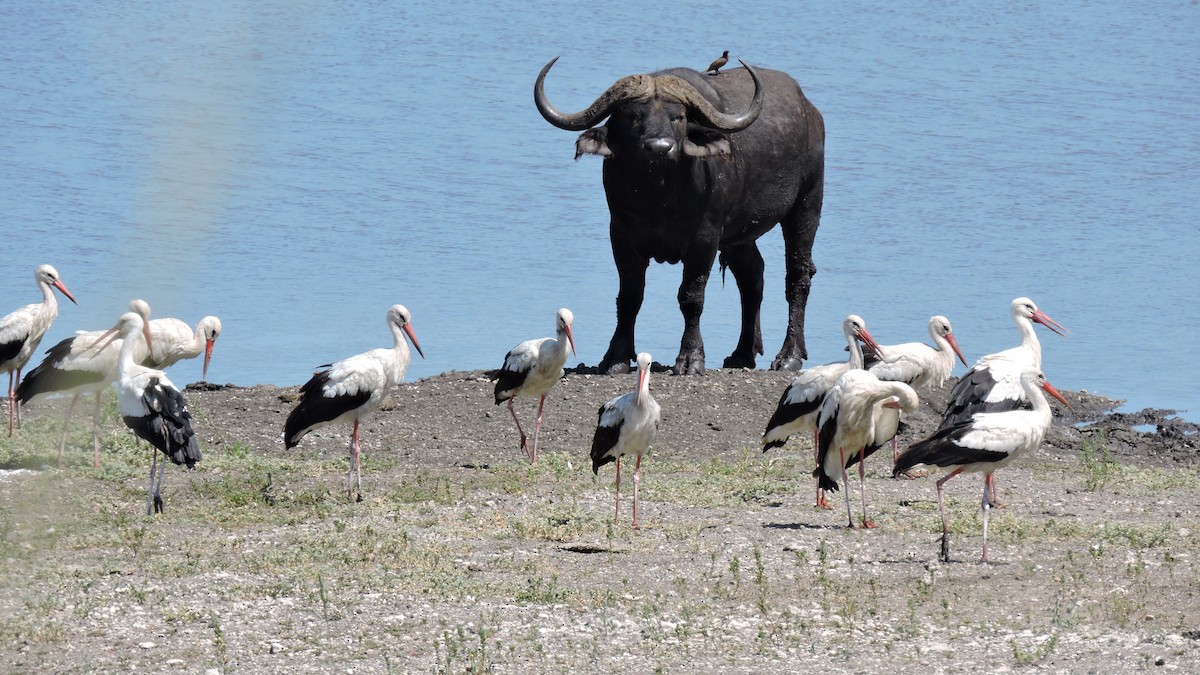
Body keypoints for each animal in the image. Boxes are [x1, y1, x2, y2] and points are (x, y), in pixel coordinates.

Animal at [537, 57, 825, 372]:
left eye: (678, 117)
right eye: (632, 116)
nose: (660, 148)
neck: (659, 197)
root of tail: (811, 112)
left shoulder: (705, 239)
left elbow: (691, 297)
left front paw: (690, 358)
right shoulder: (622, 236)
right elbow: (629, 297)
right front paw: (616, 357)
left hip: (806, 204)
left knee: (798, 275)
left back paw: (789, 356)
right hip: (739, 236)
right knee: (751, 277)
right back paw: (741, 354)